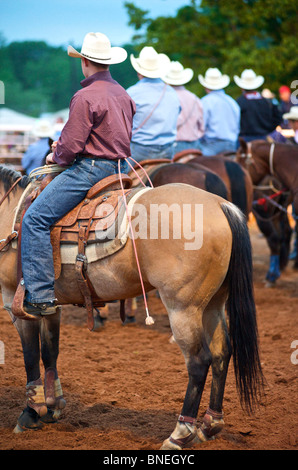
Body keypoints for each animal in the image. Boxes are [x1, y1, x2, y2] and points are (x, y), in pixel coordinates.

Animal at [0, 164, 266, 448]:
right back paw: (210, 424)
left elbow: (30, 355)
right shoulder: (51, 306)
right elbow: (50, 352)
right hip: (213, 305)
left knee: (198, 362)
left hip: (183, 308)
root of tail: (220, 204)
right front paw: (53, 407)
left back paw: (180, 433)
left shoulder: (16, 303)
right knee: (221, 353)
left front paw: (30, 414)